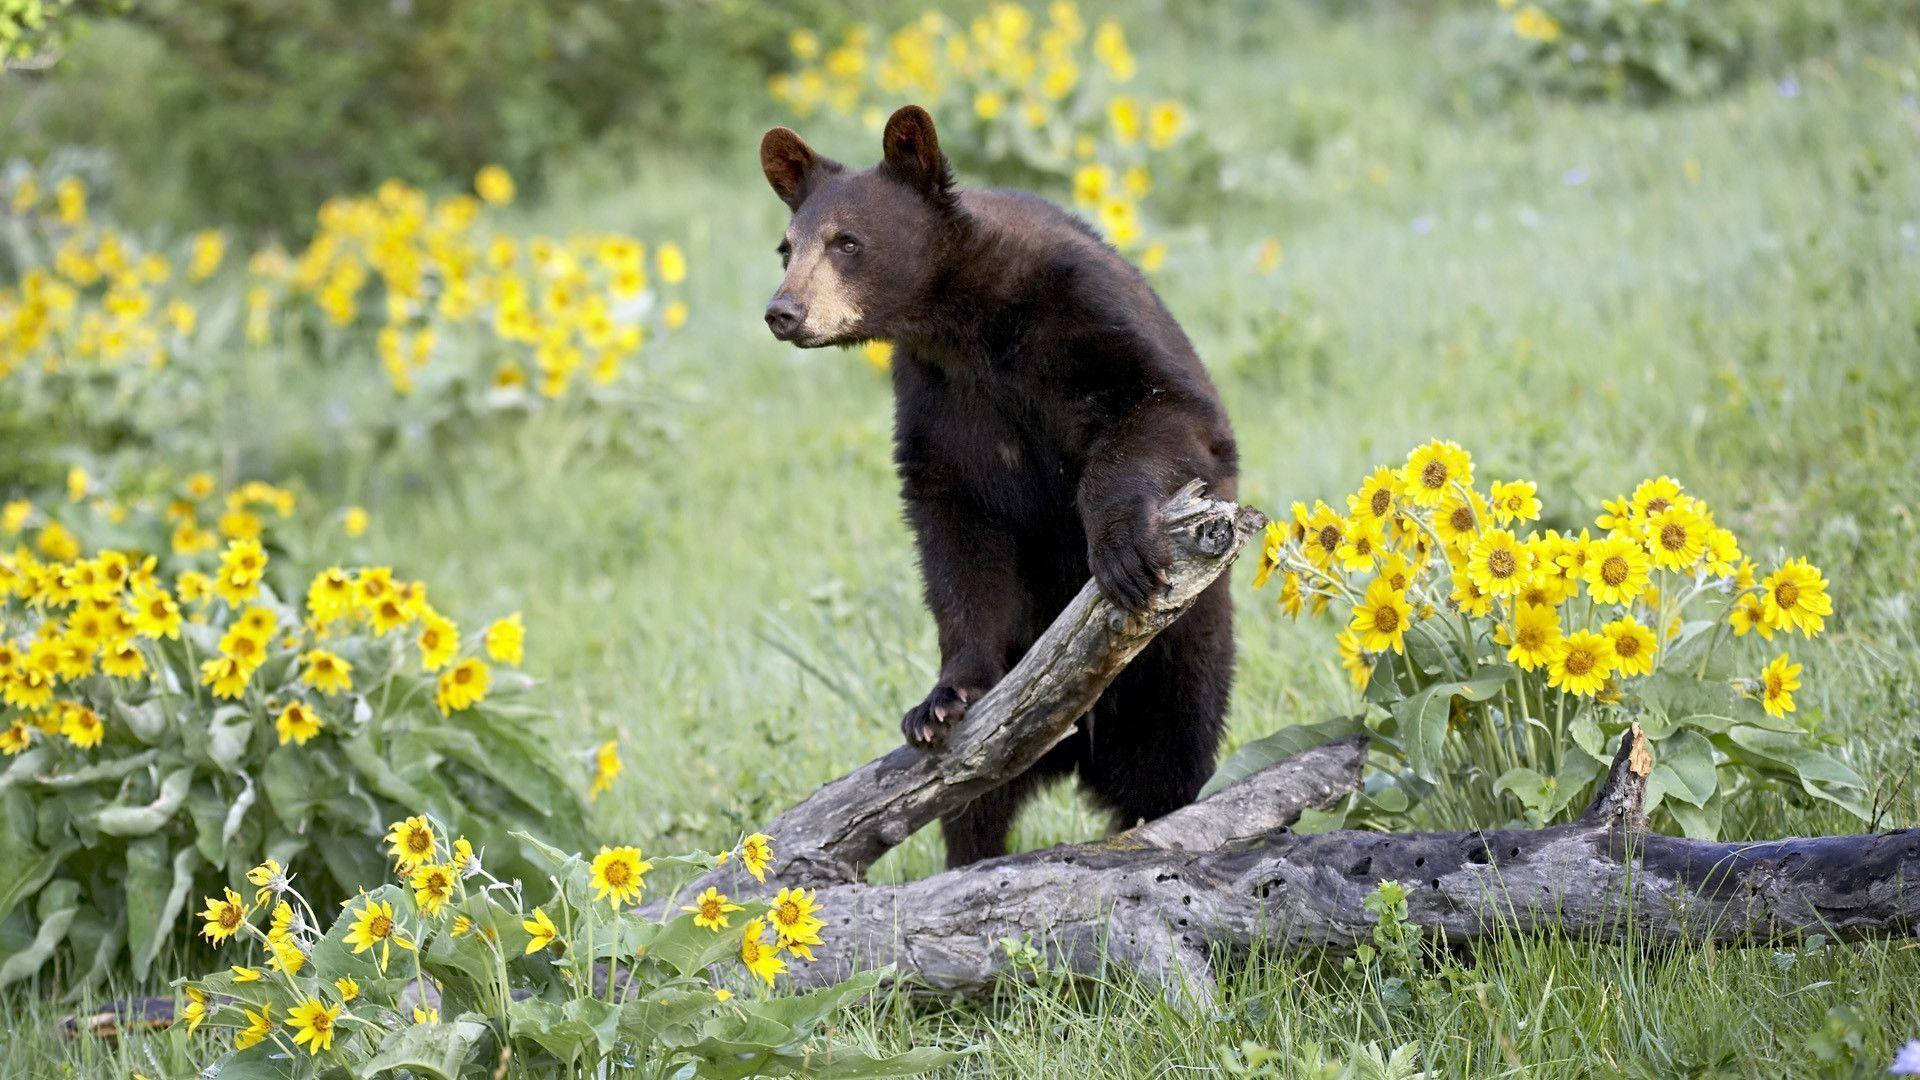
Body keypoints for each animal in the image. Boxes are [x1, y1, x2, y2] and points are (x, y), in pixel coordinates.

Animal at [756, 105, 1236, 864]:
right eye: (786, 247)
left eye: (847, 242)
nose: (784, 311)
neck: (963, 323)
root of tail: (1080, 752)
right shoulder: (938, 400)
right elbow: (958, 535)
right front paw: (941, 700)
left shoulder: (1084, 311)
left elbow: (1166, 408)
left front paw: (1121, 552)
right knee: (972, 807)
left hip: (1179, 661)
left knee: (1171, 760)